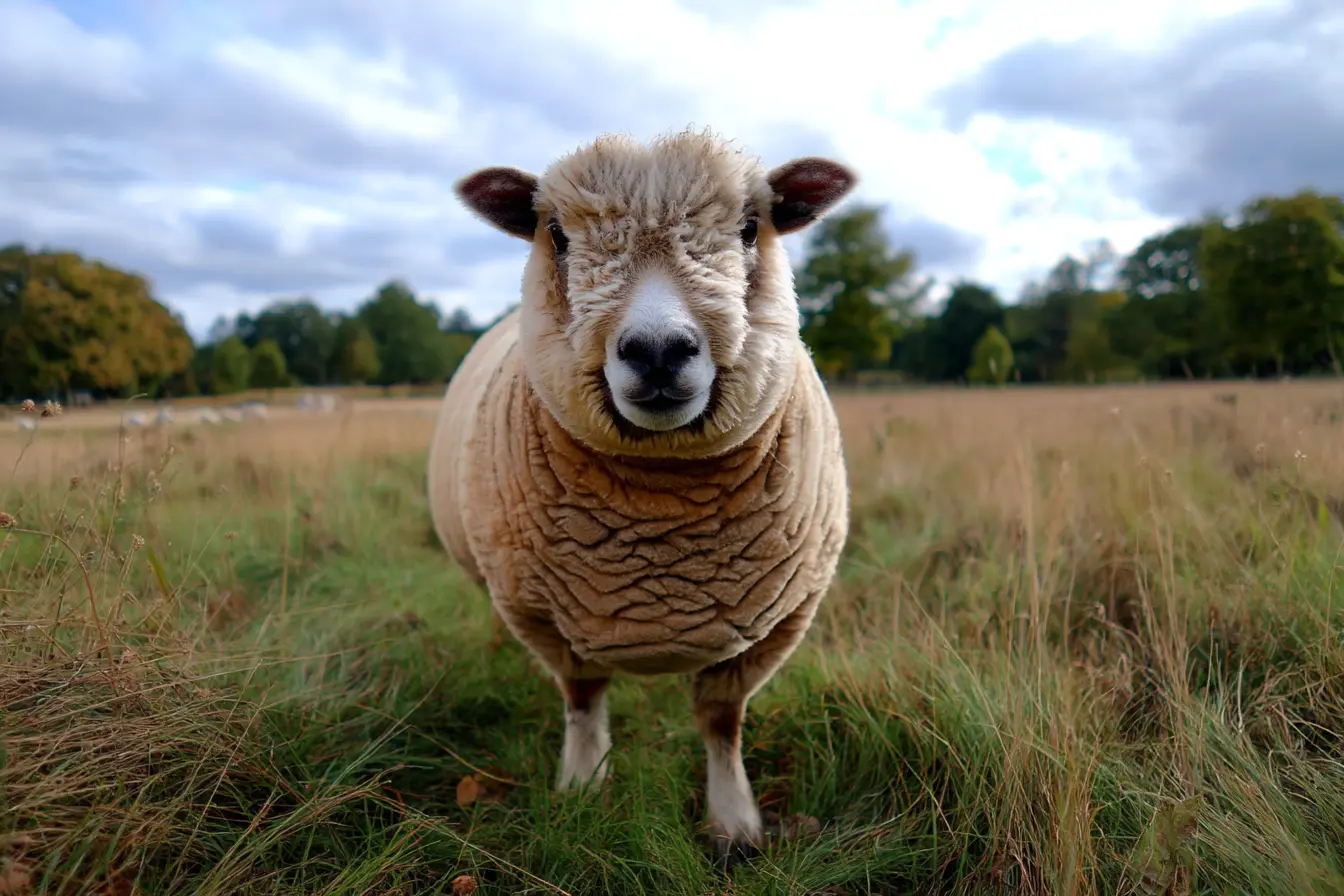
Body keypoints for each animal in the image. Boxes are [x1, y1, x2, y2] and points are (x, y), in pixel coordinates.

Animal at [427, 127, 855, 859]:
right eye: (557, 235)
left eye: (751, 227)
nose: (658, 350)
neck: (663, 520)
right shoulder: (547, 615)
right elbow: (582, 698)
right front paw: (582, 790)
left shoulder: (776, 625)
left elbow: (721, 722)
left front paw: (735, 825)